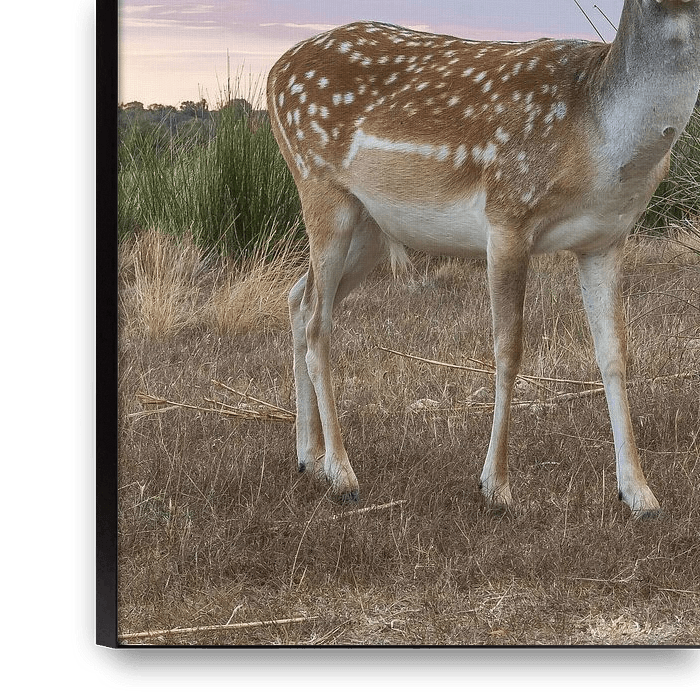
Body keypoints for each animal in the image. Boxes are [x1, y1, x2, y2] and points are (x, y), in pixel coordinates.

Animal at [266, 0, 700, 519]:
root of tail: (274, 71)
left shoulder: (607, 237)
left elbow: (615, 355)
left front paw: (639, 493)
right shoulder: (508, 214)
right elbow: (507, 352)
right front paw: (496, 486)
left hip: (369, 225)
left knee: (299, 297)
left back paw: (308, 458)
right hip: (319, 186)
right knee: (318, 324)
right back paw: (342, 473)